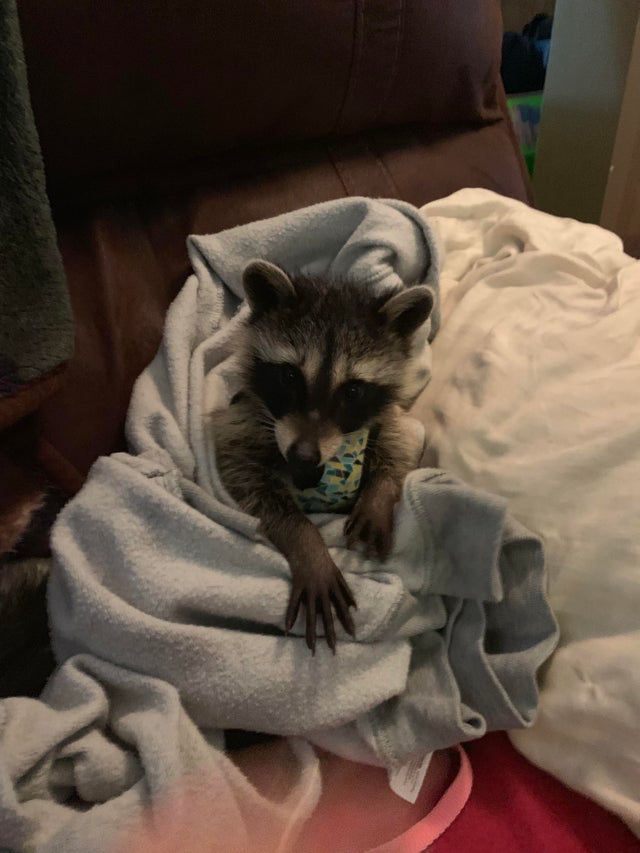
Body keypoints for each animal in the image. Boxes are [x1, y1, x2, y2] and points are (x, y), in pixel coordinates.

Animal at [212, 260, 433, 653]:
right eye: (289, 375)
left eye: (353, 390)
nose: (302, 455)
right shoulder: (244, 421)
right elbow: (242, 469)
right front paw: (307, 544)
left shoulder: (391, 416)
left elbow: (401, 440)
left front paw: (379, 494)